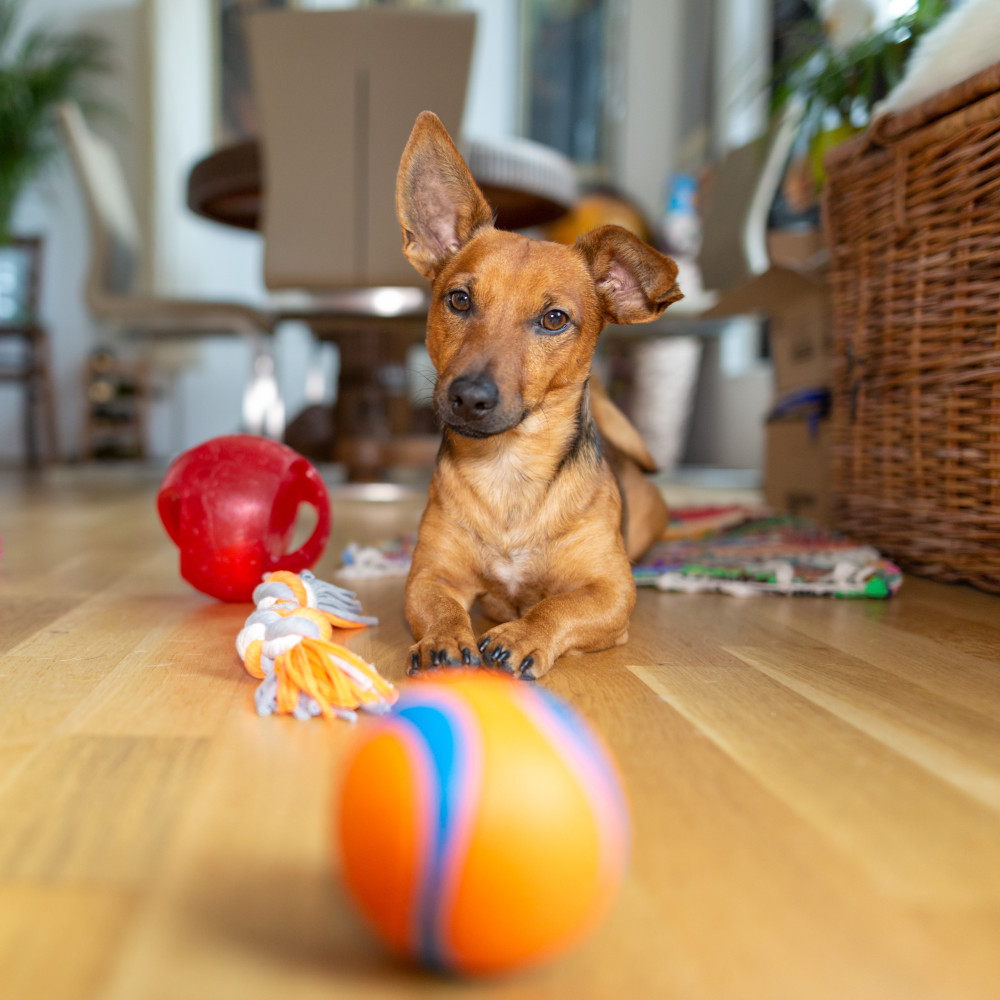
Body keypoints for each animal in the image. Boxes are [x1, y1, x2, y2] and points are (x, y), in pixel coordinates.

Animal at [394, 115, 684, 680]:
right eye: (458, 299)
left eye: (554, 319)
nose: (469, 397)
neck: (509, 470)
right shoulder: (430, 575)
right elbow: (440, 608)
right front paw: (444, 639)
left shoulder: (611, 592)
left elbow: (557, 607)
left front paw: (523, 634)